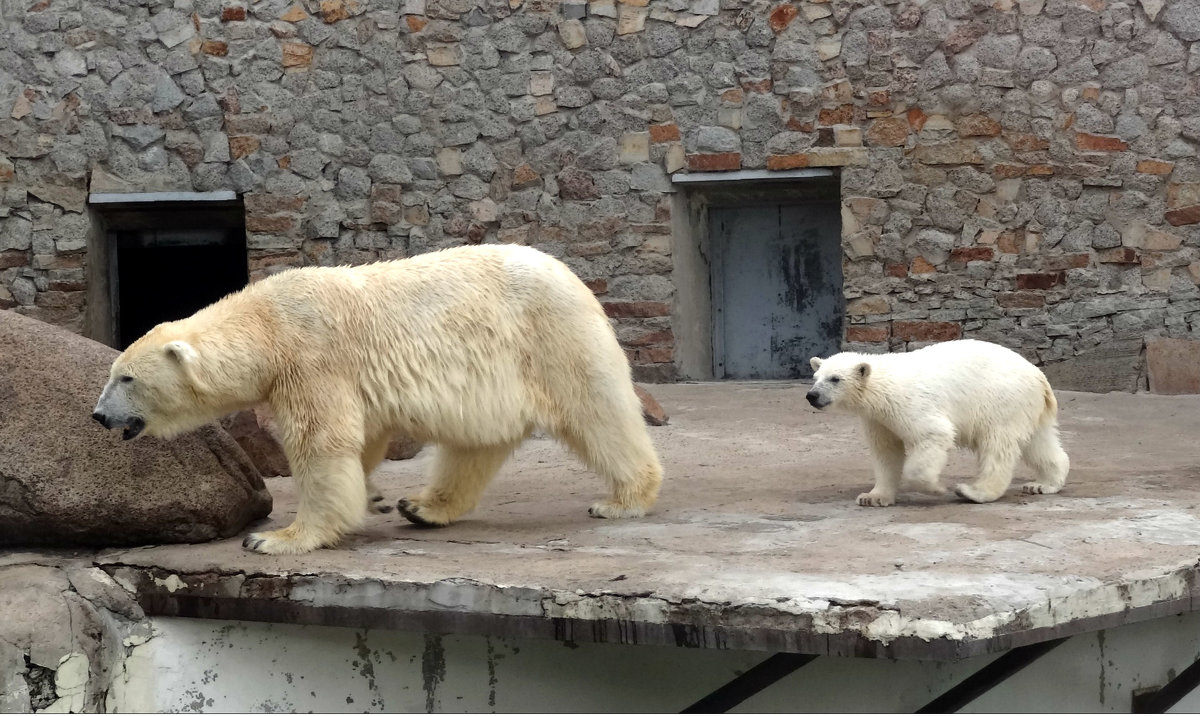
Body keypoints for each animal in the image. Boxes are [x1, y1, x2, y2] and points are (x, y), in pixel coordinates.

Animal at [93, 244, 667, 551]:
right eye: (114, 371)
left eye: (127, 378)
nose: (99, 415)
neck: (267, 322)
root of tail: (573, 276)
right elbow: (362, 439)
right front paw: (371, 494)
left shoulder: (312, 358)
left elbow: (322, 442)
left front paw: (277, 538)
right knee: (474, 445)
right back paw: (423, 507)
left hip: (550, 338)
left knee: (596, 411)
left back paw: (622, 499)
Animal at [806, 338, 1070, 503]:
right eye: (816, 377)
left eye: (835, 379)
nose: (812, 396)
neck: (882, 388)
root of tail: (1039, 375)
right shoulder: (877, 419)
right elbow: (886, 451)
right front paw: (873, 497)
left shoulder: (909, 403)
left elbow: (934, 434)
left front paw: (934, 487)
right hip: (1027, 407)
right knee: (1039, 442)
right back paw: (1043, 484)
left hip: (1001, 401)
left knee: (997, 446)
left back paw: (974, 492)